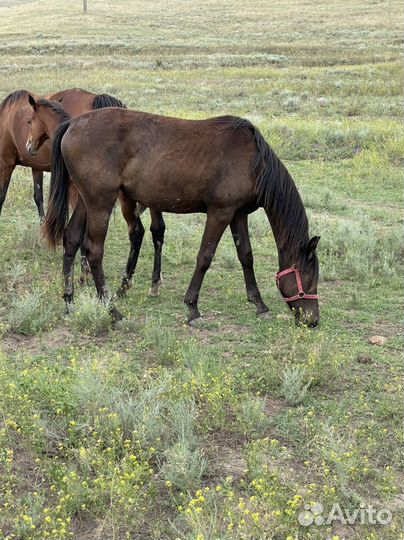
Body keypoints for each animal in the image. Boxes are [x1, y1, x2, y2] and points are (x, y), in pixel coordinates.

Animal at [26, 97, 165, 298]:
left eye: (29, 121)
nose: (29, 146)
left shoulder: (81, 199)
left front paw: (85, 275)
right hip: (152, 202)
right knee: (158, 231)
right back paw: (155, 282)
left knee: (140, 232)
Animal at [38, 105, 318, 324]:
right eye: (310, 278)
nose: (312, 320)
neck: (253, 161)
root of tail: (73, 123)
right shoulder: (220, 213)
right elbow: (205, 257)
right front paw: (192, 307)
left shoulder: (238, 215)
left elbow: (246, 257)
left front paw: (259, 304)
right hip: (101, 204)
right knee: (94, 251)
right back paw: (113, 311)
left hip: (87, 202)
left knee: (72, 239)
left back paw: (69, 301)